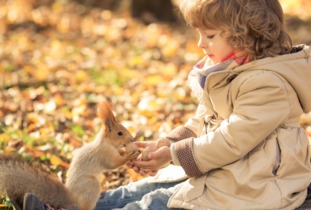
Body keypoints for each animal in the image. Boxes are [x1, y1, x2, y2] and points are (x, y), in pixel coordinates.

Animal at [0, 101, 141, 209]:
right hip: (91, 185)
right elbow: (113, 164)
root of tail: (71, 197)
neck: (106, 142)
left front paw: (127, 151)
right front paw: (129, 155)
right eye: (119, 133)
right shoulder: (104, 153)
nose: (132, 139)